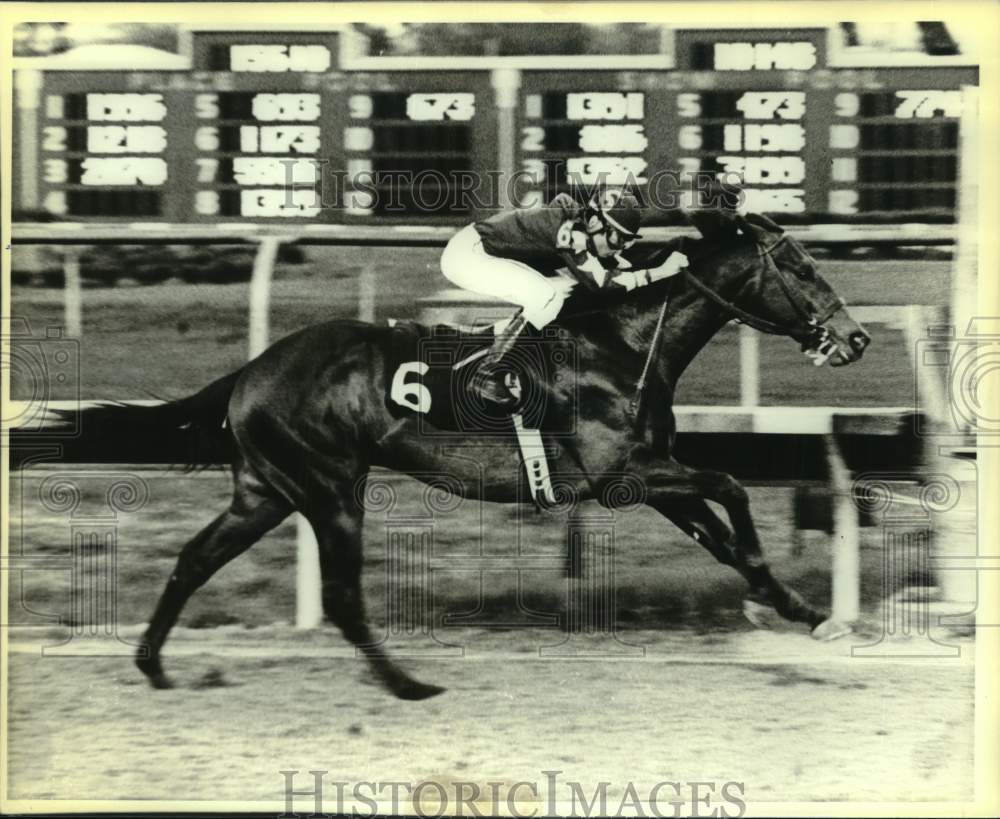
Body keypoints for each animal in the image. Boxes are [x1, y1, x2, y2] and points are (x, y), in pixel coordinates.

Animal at [70, 207, 872, 700]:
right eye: (801, 266)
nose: (855, 338)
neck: (625, 344)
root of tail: (251, 371)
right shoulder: (623, 473)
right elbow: (732, 486)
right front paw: (782, 602)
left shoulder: (645, 476)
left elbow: (721, 532)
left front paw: (799, 607)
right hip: (329, 489)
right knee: (340, 595)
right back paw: (408, 684)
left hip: (265, 491)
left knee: (193, 559)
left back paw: (152, 665)